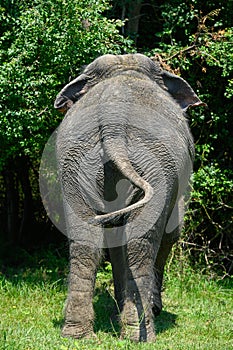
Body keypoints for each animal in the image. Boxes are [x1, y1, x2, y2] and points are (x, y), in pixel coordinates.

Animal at [53, 54, 206, 342]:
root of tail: (113, 124)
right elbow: (171, 233)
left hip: (75, 163)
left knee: (84, 242)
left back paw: (76, 334)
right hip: (156, 166)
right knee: (141, 243)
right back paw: (140, 334)